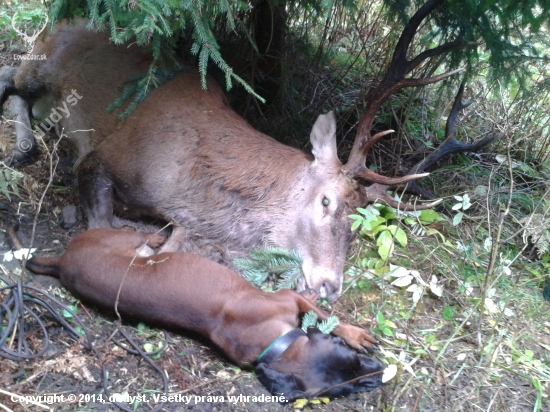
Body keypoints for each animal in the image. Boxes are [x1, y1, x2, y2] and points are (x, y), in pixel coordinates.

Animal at [25, 227, 386, 400]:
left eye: (352, 364)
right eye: (344, 390)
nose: (381, 375)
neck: (276, 344)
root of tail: (62, 261)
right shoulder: (287, 299)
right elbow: (322, 315)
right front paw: (355, 332)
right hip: (121, 237)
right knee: (147, 234)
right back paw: (167, 233)